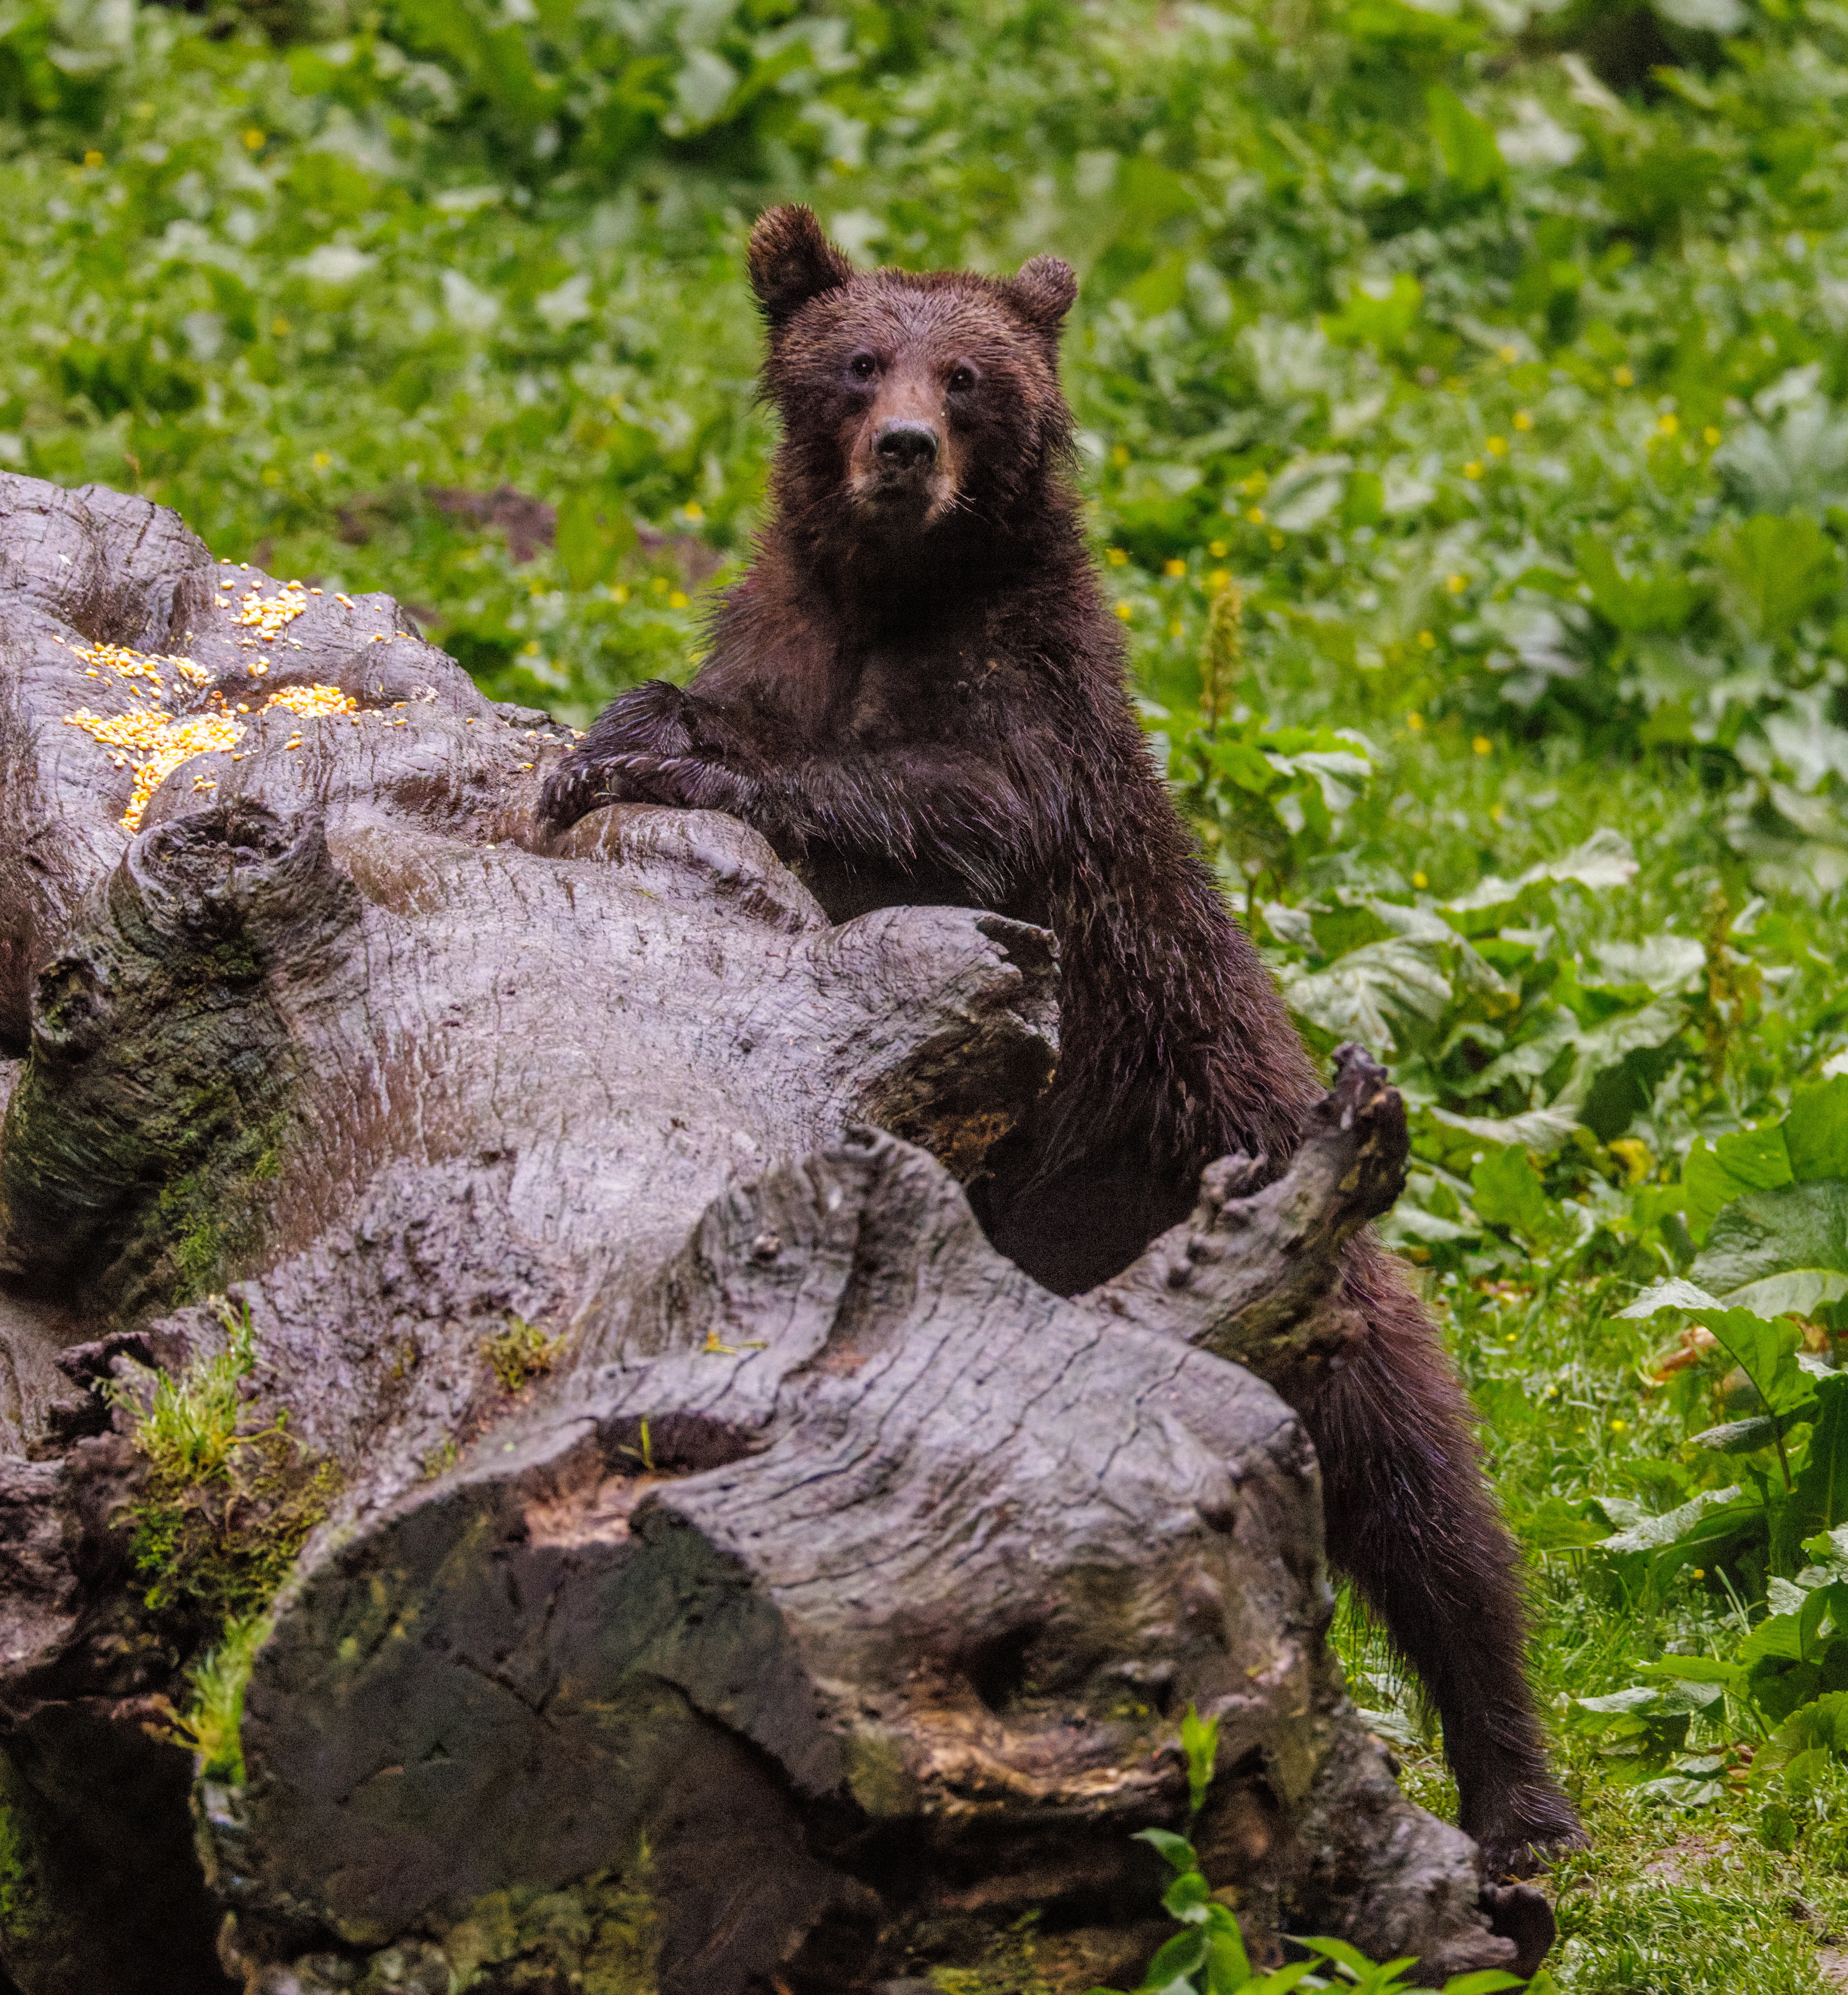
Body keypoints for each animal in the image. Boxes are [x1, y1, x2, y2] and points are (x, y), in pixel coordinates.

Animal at [538, 204, 1585, 1889]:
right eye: (855, 360)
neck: (887, 609)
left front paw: (658, 757)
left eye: (967, 376)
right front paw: (607, 735)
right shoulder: (789, 639)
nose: (903, 451)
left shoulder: (1029, 736)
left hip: (1260, 1203)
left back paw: (1517, 1798)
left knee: (1427, 1502)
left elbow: (942, 799)